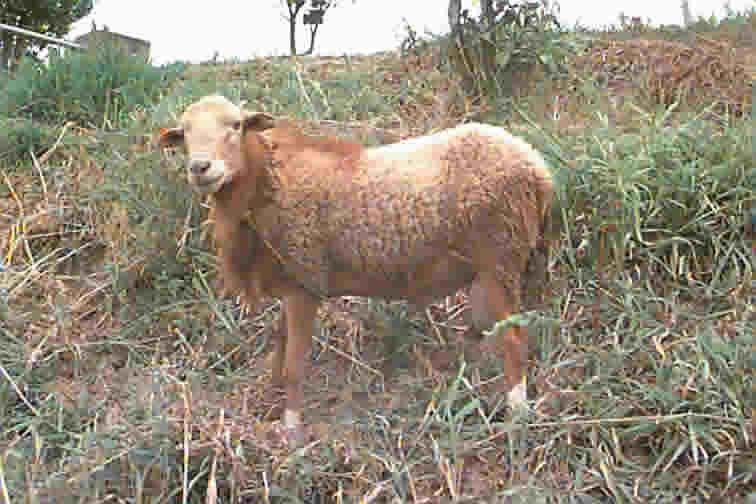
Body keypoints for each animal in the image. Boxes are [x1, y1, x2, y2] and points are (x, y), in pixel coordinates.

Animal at [158, 95, 554, 441]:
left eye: (236, 125)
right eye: (185, 132)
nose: (200, 168)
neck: (269, 180)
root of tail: (537, 167)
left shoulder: (305, 285)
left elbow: (293, 366)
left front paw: (292, 430)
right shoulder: (290, 282)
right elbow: (279, 350)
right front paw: (271, 409)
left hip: (500, 256)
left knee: (515, 341)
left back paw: (518, 417)